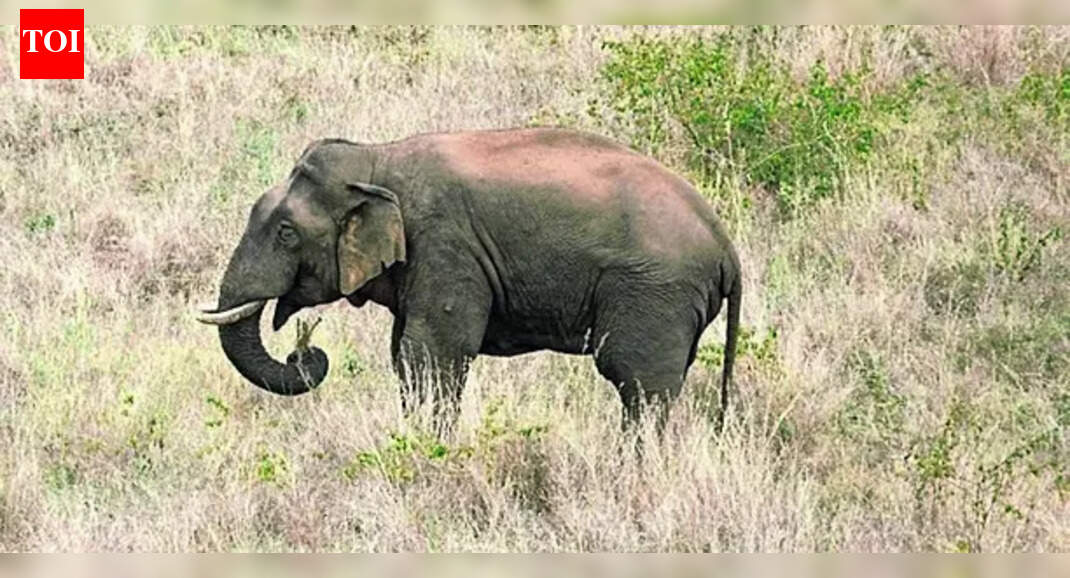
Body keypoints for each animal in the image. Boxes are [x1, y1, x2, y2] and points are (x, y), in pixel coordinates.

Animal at [197, 127, 742, 432]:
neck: (378, 159)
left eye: (286, 233)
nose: (304, 349)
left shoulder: (446, 246)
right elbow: (405, 355)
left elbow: (432, 353)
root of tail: (726, 246)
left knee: (639, 384)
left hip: (656, 292)